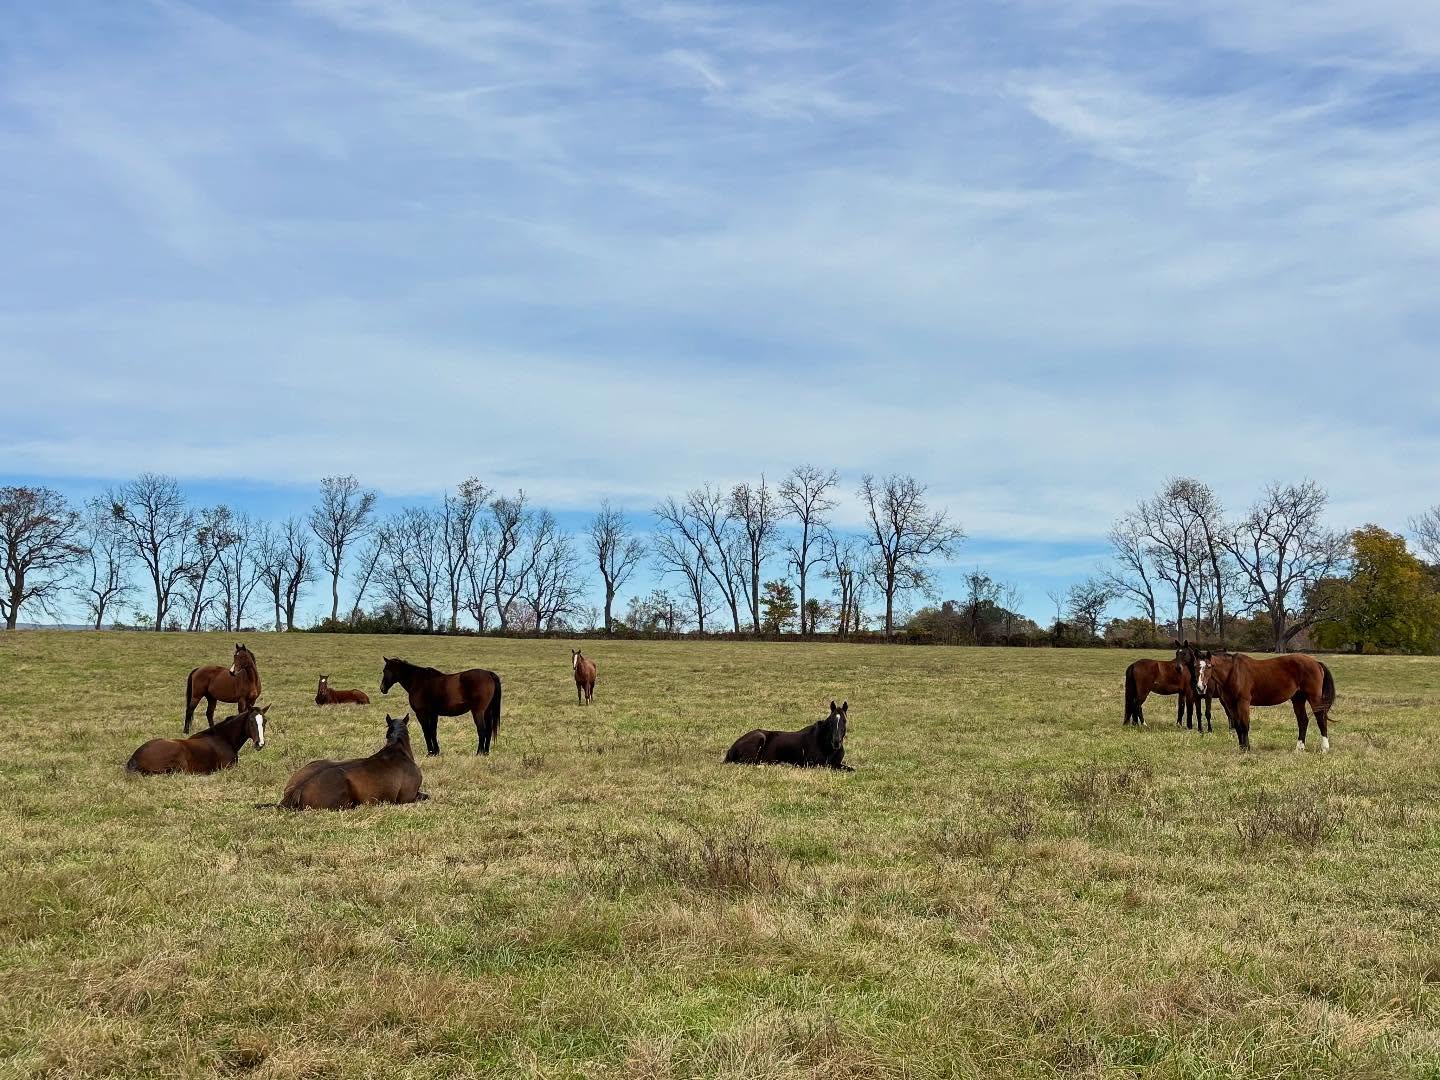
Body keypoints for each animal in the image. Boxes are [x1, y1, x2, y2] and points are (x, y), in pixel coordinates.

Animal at [128, 705, 270, 775]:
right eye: (251, 721)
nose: (260, 743)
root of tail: (134, 758)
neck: (223, 738)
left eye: (265, 721)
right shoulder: (228, 768)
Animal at [1193, 650, 1336, 751]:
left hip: (1314, 698)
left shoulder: (1243, 702)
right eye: (1195, 666)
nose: (1200, 687)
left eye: (1209, 666)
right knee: (1303, 721)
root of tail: (1316, 662)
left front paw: (1247, 749)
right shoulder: (1231, 704)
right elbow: (1237, 725)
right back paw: (1299, 748)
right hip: (1298, 698)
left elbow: (1244, 725)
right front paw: (1241, 748)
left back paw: (1324, 748)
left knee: (1321, 719)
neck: (1233, 672)